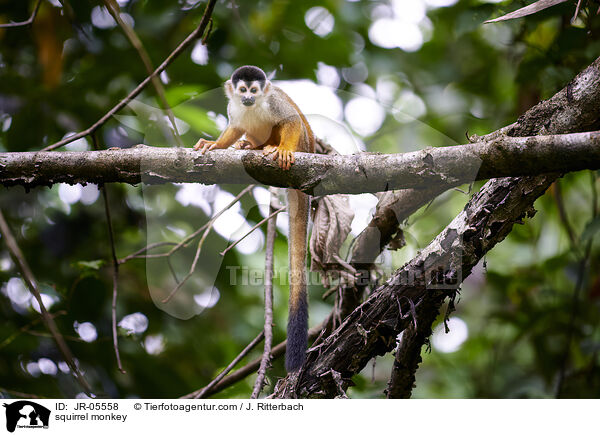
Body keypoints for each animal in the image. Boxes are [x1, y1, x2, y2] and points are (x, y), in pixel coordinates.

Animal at [196, 66, 318, 372]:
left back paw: (272, 148)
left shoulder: (273, 101)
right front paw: (215, 144)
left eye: (254, 90)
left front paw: (283, 150)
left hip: (304, 143)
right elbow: (234, 126)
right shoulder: (233, 108)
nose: (249, 98)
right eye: (243, 90)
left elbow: (290, 119)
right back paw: (250, 145)